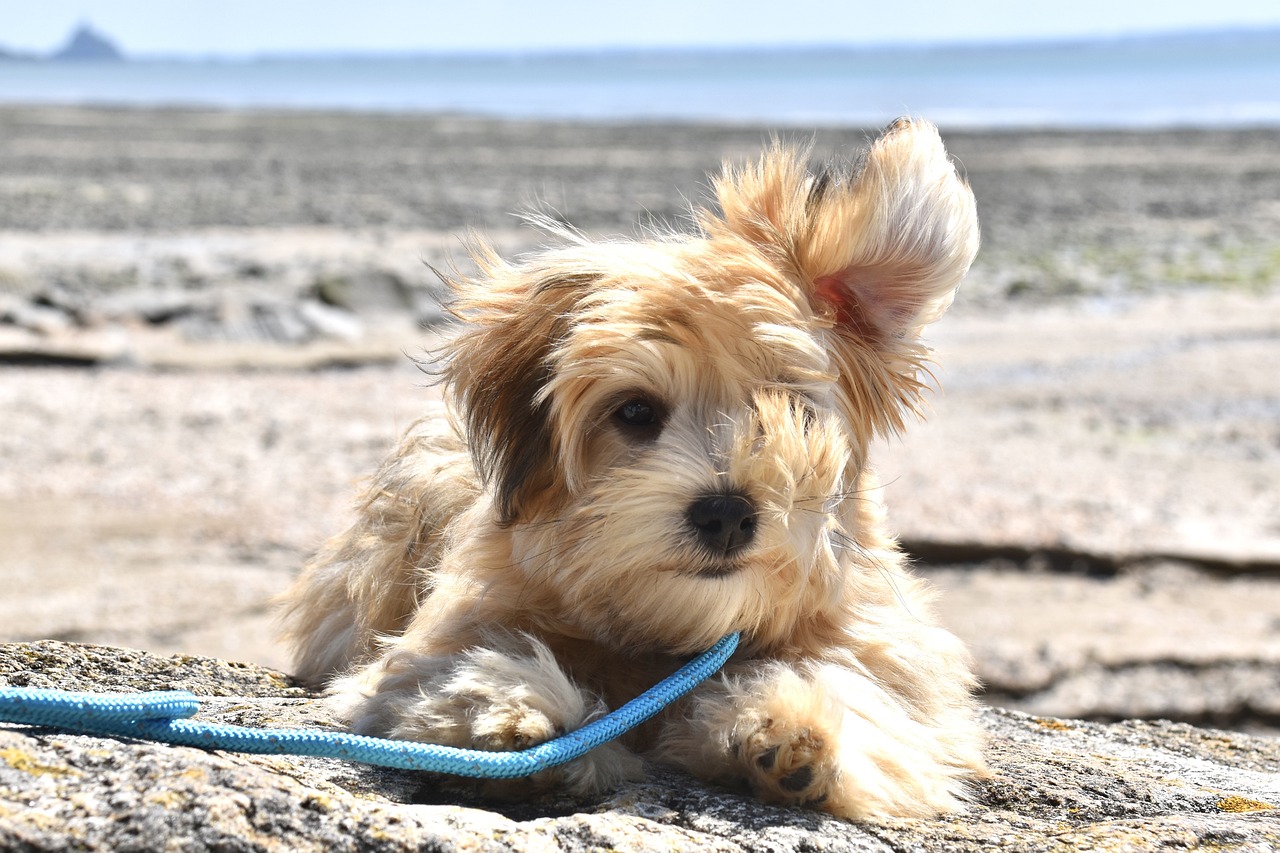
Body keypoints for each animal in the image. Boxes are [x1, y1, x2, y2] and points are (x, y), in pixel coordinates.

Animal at [277, 117, 977, 819]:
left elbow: (865, 691)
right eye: (636, 411)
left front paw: (794, 723)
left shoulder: (882, 646)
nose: (726, 514)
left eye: (793, 412)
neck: (671, 633)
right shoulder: (441, 634)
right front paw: (517, 712)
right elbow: (458, 664)